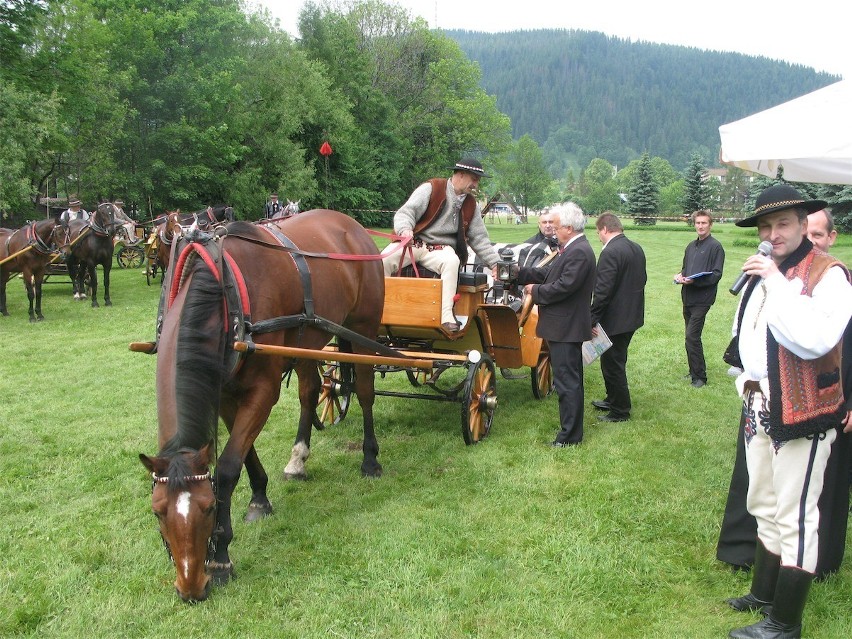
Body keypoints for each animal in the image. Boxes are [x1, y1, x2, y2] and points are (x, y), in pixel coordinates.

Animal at [138, 210, 384, 604]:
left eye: (208, 507)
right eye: (158, 511)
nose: (190, 588)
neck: (225, 294)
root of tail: (350, 225)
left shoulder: (263, 390)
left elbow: (227, 468)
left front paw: (221, 558)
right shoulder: (226, 391)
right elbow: (243, 453)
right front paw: (259, 498)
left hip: (363, 329)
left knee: (364, 391)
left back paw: (370, 459)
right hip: (307, 342)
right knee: (310, 392)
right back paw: (298, 459)